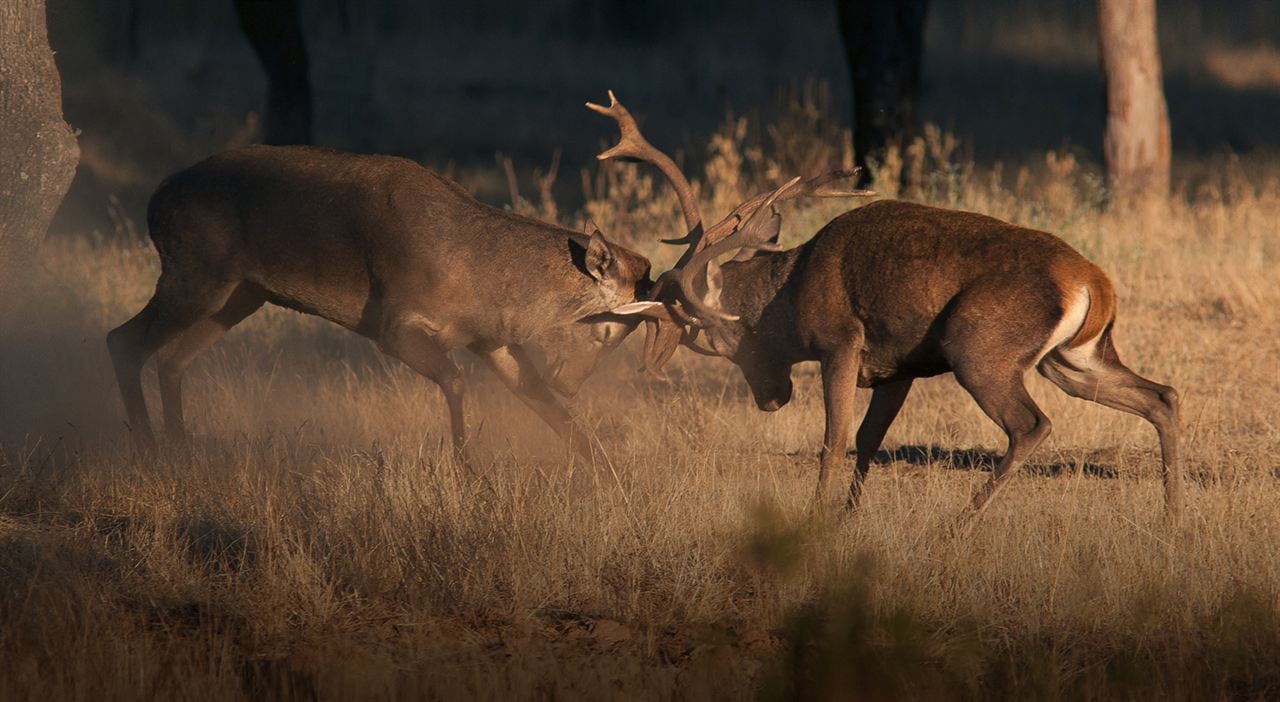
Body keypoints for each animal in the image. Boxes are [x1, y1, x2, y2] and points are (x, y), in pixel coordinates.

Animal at [104, 144, 655, 461]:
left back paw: (181, 449)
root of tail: (154, 200)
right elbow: (455, 380)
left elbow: (545, 406)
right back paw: (150, 451)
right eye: (605, 327)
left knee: (172, 359)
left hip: (240, 293)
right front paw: (466, 471)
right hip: (196, 272)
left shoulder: (491, 340)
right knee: (121, 339)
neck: (479, 285)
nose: (573, 384)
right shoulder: (394, 322)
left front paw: (609, 477)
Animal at [593, 93, 1182, 517]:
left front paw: (816, 519)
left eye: (724, 342)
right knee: (1162, 395)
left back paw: (958, 525)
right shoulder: (898, 366)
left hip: (980, 346)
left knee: (1032, 424)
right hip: (1073, 357)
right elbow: (868, 440)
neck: (793, 289)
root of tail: (1094, 282)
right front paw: (846, 518)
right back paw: (1172, 515)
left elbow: (833, 440)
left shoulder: (839, 341)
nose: (771, 399)